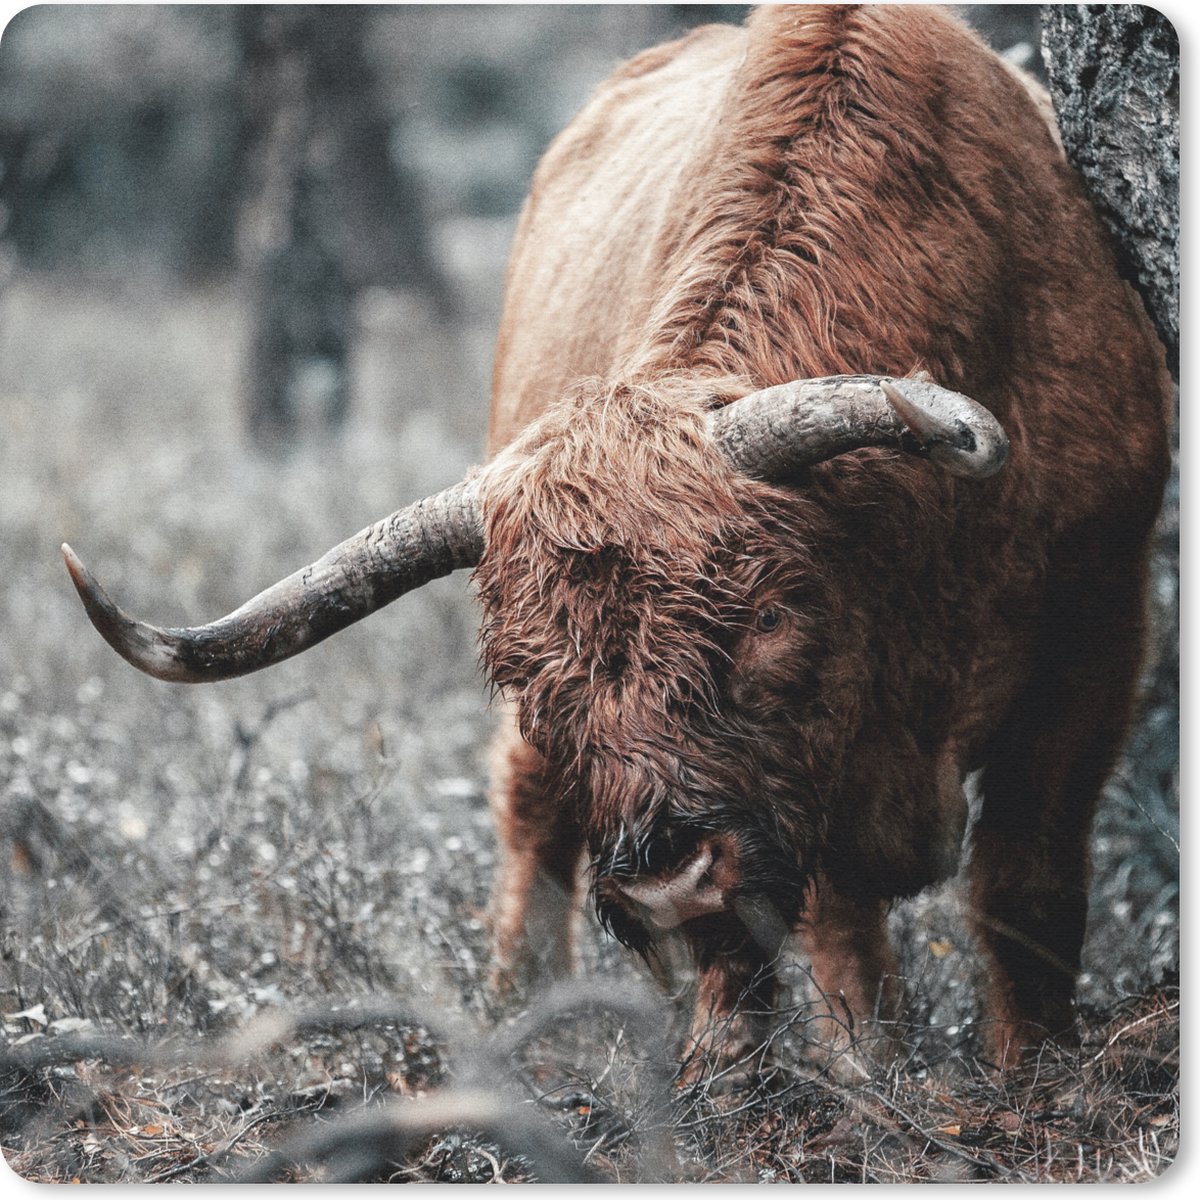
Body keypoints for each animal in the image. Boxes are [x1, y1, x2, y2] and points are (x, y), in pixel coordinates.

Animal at [64, 5, 1171, 1074]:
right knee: (529, 811)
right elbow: (815, 926)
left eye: (769, 618)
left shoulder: (1097, 628)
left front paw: (1029, 1068)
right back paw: (542, 1018)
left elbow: (1025, 883)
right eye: (526, 675)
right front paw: (784, 1071)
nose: (666, 889)